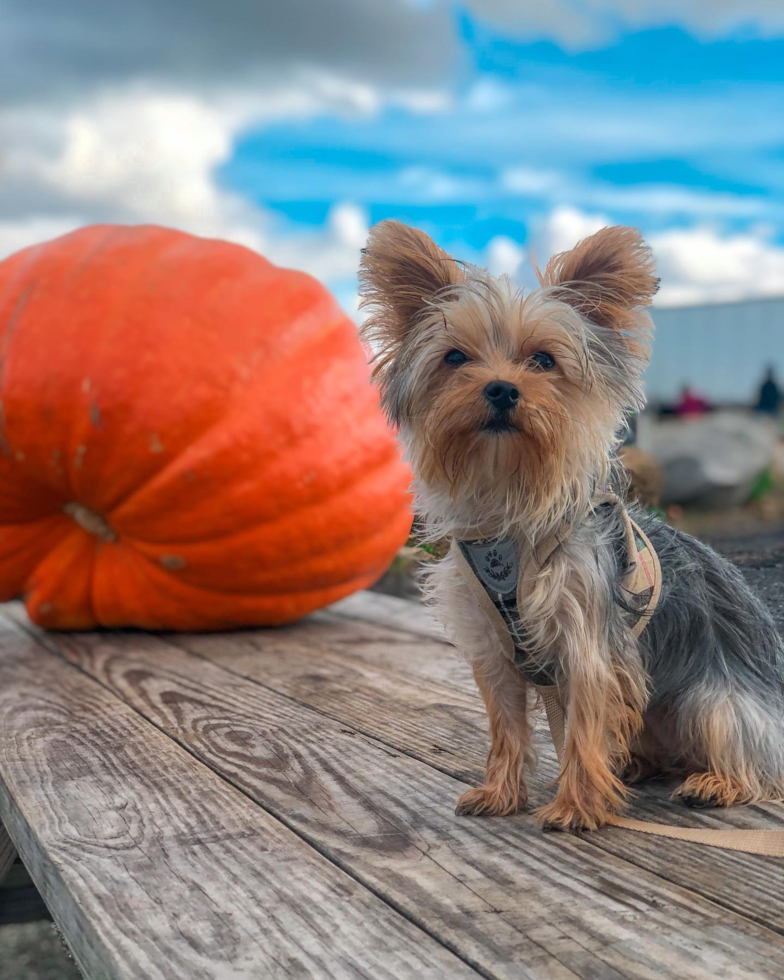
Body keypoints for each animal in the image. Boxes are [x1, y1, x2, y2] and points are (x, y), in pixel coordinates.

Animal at [358, 222, 784, 828]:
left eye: (542, 360)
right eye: (454, 357)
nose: (501, 389)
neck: (510, 509)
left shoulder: (587, 642)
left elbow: (582, 726)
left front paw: (576, 805)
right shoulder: (494, 650)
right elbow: (506, 726)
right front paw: (502, 793)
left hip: (714, 700)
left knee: (751, 757)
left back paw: (715, 782)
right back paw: (635, 767)